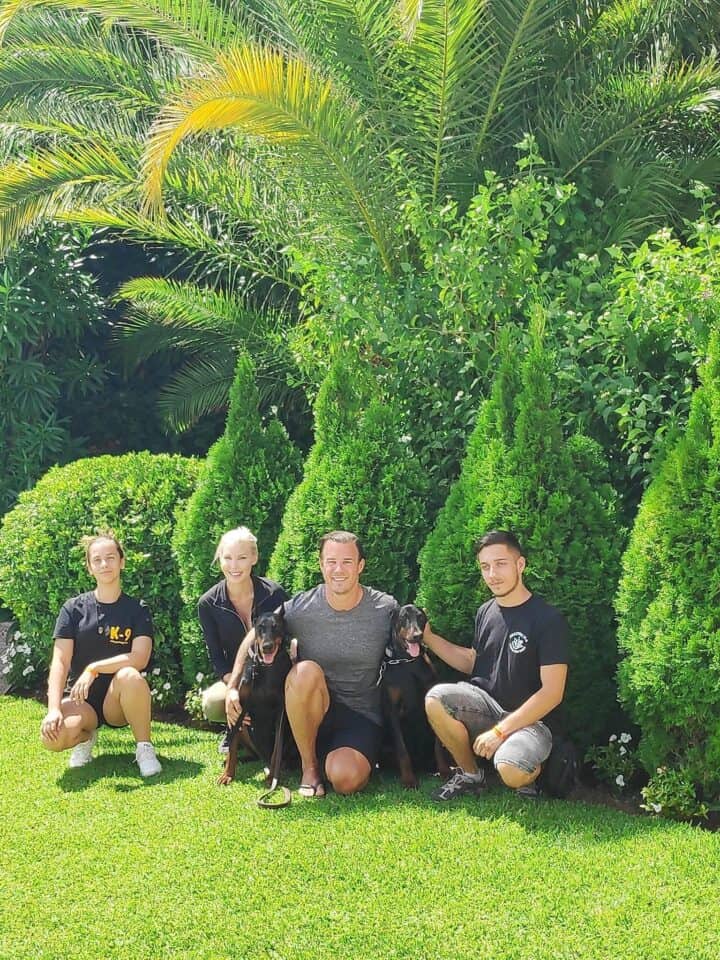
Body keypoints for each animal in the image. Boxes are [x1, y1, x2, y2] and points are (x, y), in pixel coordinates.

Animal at [221, 612, 296, 792]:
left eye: (276, 626)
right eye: (260, 627)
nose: (267, 647)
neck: (265, 667)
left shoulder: (281, 713)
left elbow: (277, 750)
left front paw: (271, 779)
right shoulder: (240, 707)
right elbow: (232, 748)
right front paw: (227, 775)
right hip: (243, 726)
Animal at [382, 604, 450, 792]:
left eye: (420, 617)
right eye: (403, 618)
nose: (417, 635)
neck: (407, 662)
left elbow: (437, 746)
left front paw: (444, 771)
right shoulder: (392, 711)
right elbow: (402, 750)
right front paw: (409, 780)